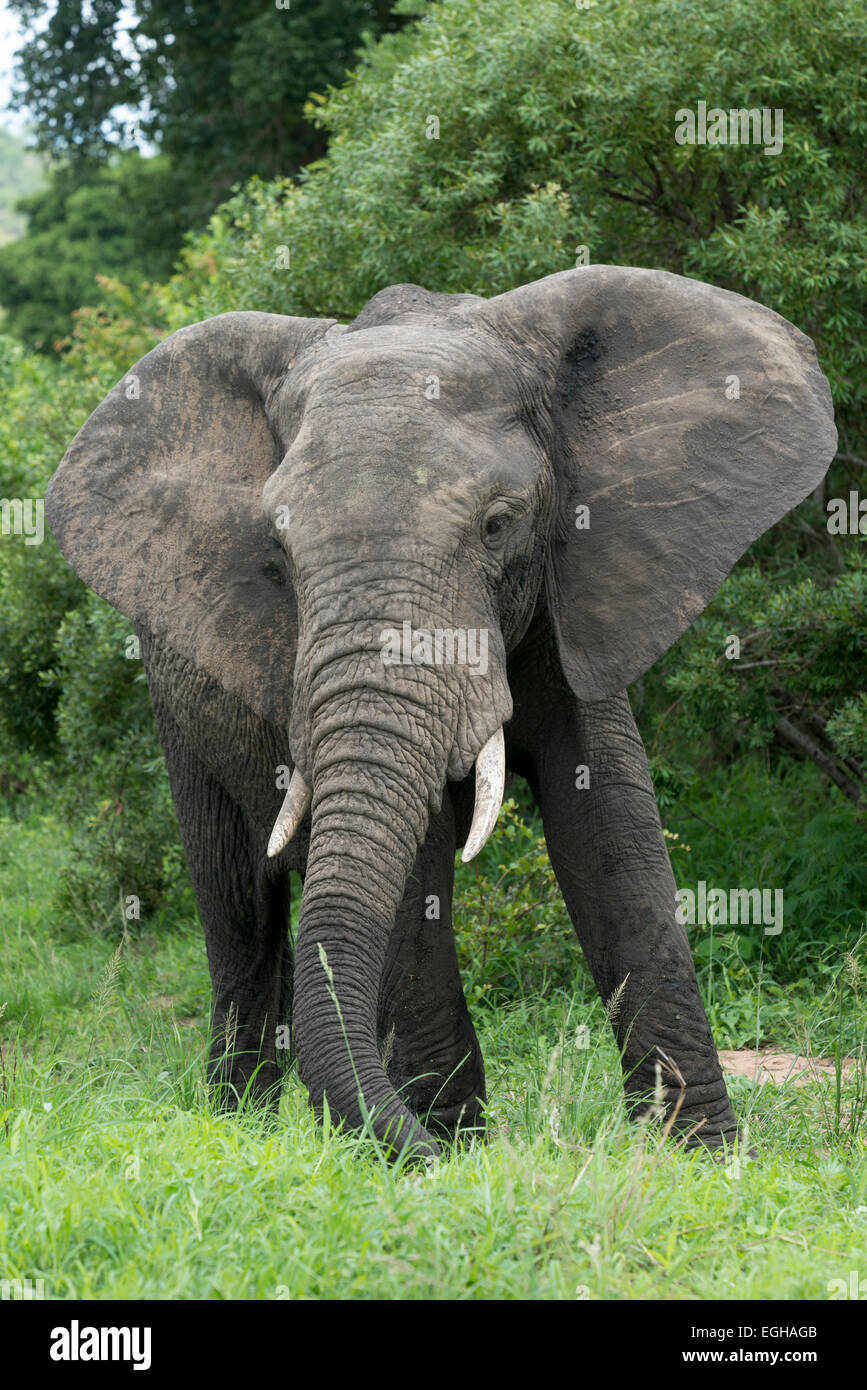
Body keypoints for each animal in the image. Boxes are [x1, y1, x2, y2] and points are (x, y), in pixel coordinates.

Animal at [44, 262, 839, 1162]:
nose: (410, 1144)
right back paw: (239, 1123)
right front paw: (449, 1154)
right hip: (172, 694)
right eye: (274, 555)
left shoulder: (582, 586)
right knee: (239, 909)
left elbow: (610, 827)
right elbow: (413, 867)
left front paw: (698, 1155)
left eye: (498, 524)